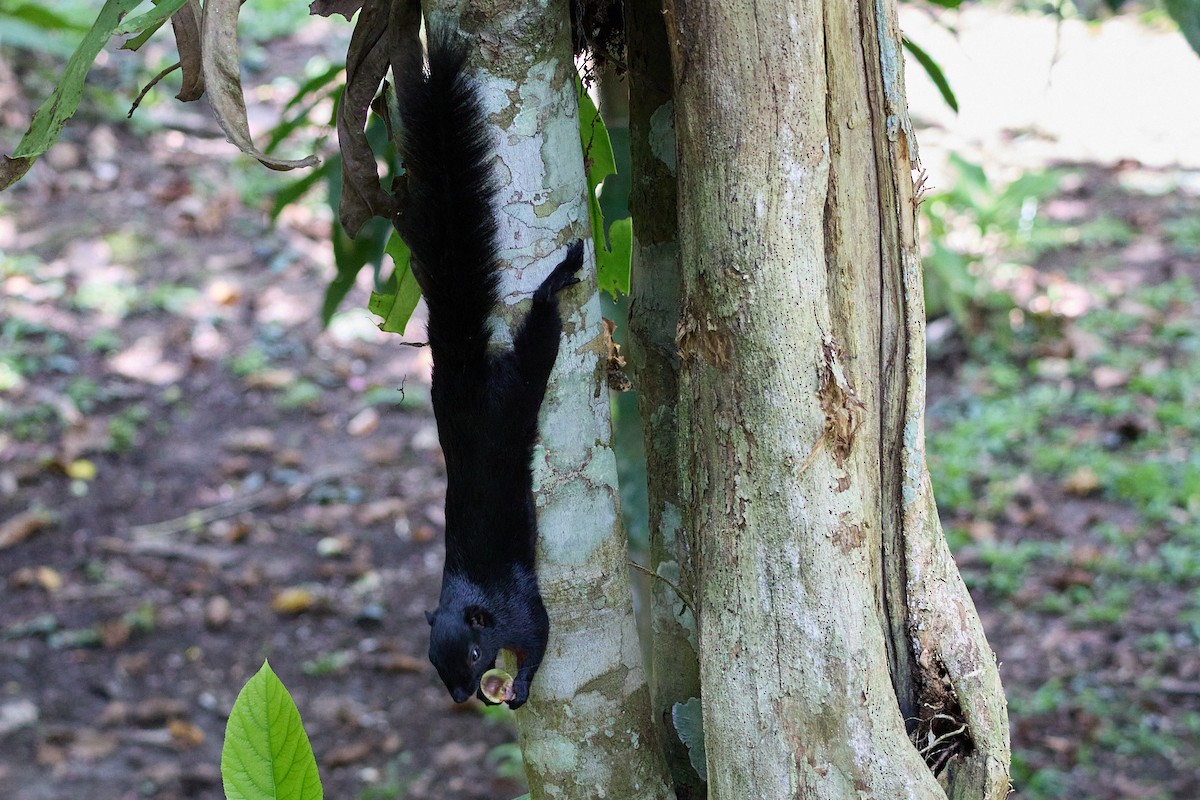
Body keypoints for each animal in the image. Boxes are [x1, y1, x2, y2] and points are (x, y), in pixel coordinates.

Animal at [392, 30, 583, 709]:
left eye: (473, 655)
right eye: (433, 662)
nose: (460, 696)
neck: (476, 600)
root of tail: (462, 375)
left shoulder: (522, 607)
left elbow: (541, 636)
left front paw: (521, 685)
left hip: (518, 392)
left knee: (538, 341)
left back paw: (556, 281)